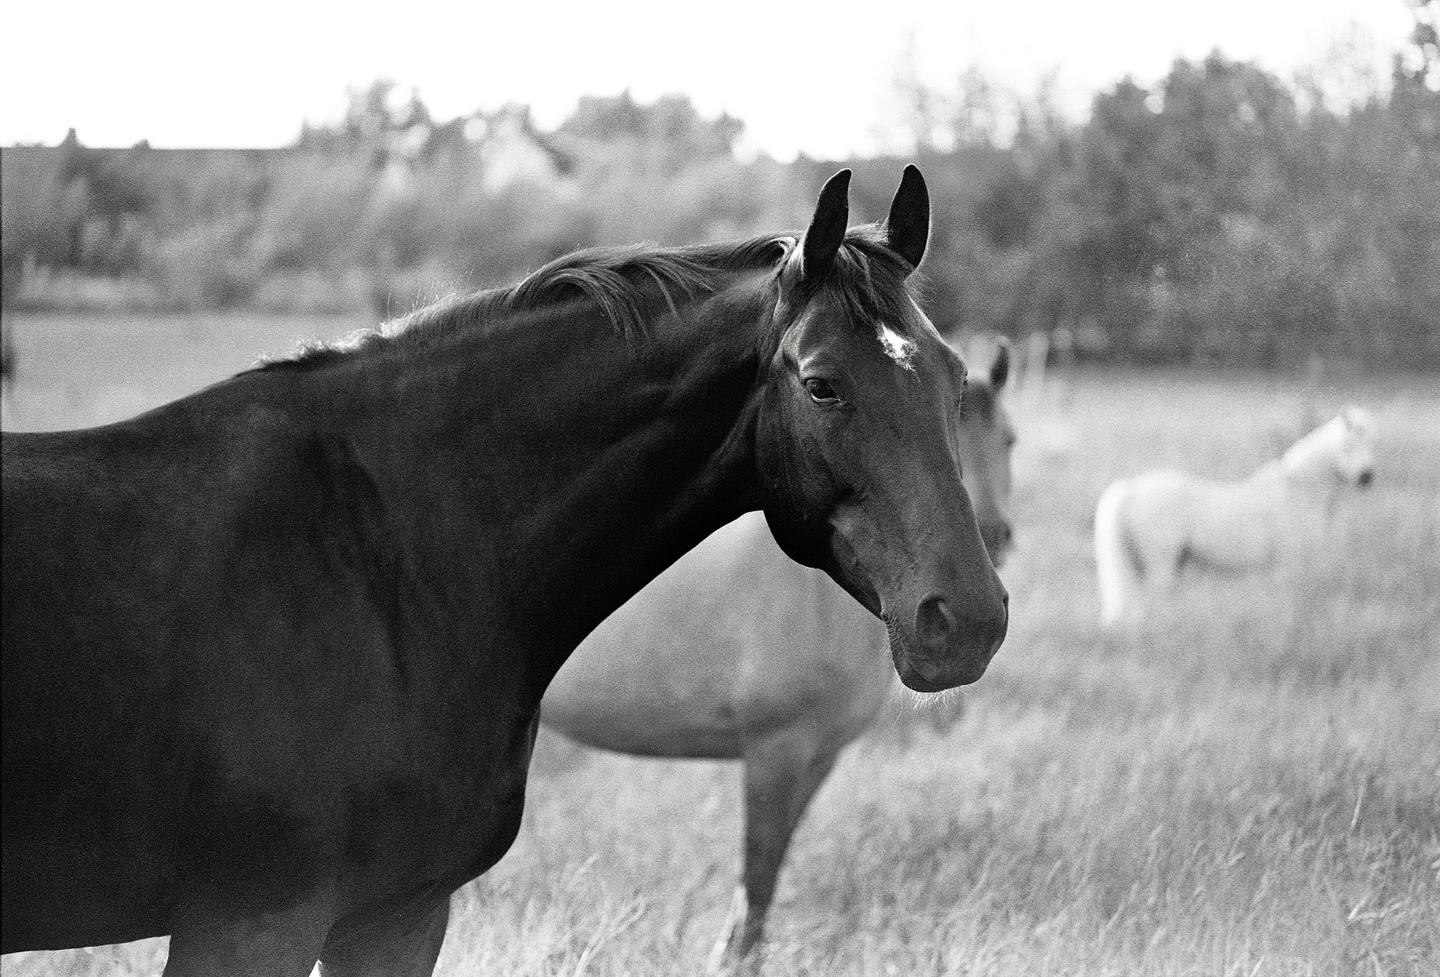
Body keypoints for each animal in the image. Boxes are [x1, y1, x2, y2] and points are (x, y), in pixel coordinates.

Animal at [540, 342, 1014, 966]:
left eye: (1008, 439)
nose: (993, 536)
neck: (821, 593)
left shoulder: (818, 757)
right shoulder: (775, 752)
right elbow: (758, 875)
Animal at [1093, 406, 1377, 627]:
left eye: (1373, 444)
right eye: (1347, 446)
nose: (1366, 478)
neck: (1299, 489)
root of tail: (1132, 487)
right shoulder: (1289, 564)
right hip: (1160, 565)